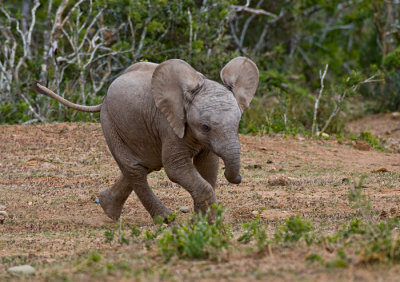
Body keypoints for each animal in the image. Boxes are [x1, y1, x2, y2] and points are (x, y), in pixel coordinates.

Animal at [33, 56, 260, 220]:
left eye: (238, 123)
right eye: (205, 127)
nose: (238, 178)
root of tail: (103, 97)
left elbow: (208, 167)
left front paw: (202, 221)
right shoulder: (168, 124)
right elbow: (175, 169)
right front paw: (209, 223)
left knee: (145, 164)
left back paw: (107, 207)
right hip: (110, 122)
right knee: (135, 169)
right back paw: (166, 220)